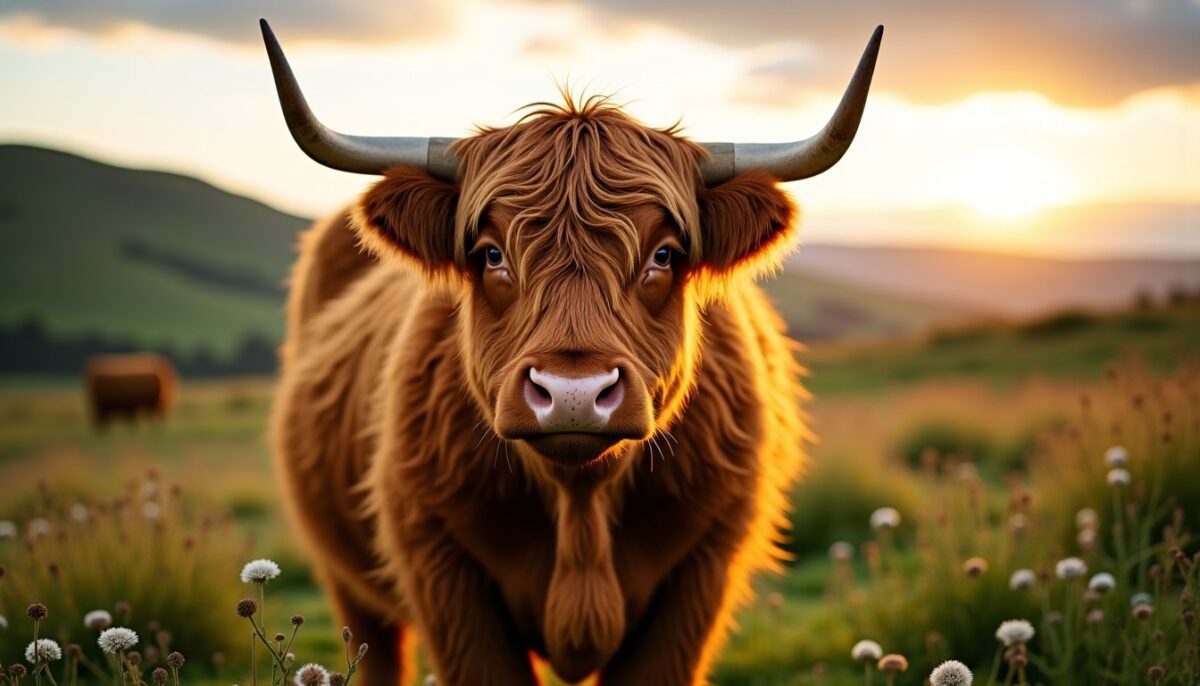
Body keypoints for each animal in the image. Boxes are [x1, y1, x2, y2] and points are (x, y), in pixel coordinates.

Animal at [263, 19, 882, 686]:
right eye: (490, 253)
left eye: (664, 254)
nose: (573, 394)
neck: (580, 502)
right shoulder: (439, 567)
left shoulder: (704, 569)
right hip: (351, 587)